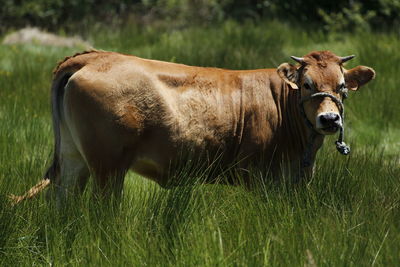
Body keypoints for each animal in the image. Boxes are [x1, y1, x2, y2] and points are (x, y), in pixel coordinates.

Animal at [10, 50, 376, 205]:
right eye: (306, 84)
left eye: (341, 86)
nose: (329, 119)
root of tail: (97, 56)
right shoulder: (260, 177)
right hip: (107, 167)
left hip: (74, 161)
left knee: (63, 205)